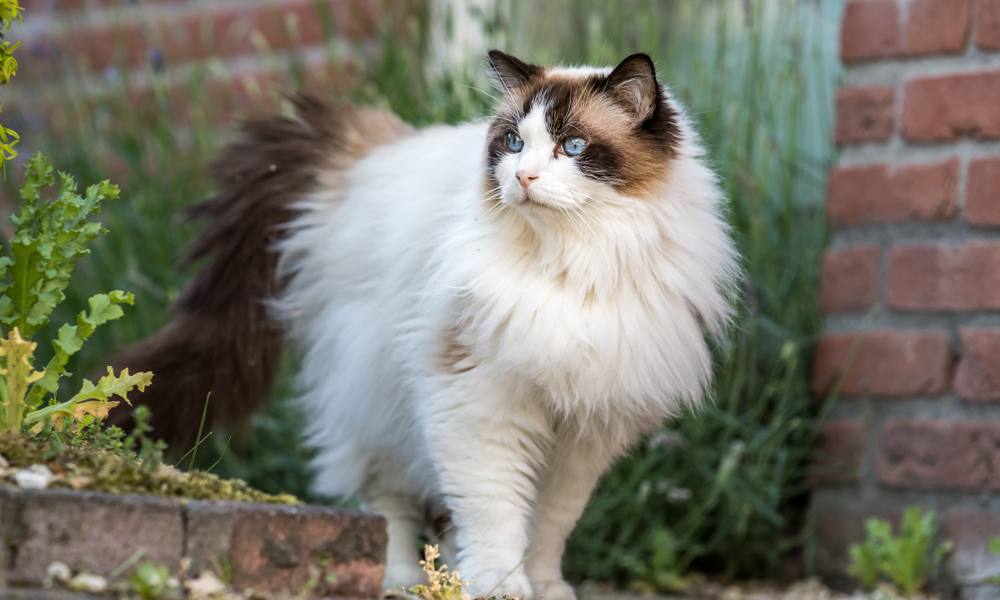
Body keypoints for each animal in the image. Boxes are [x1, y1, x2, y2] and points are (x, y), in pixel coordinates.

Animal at [115, 51, 744, 600]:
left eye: (574, 147)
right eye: (514, 143)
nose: (524, 177)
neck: (572, 263)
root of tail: (373, 152)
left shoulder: (583, 433)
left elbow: (549, 526)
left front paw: (542, 587)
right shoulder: (478, 403)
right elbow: (495, 512)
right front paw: (498, 585)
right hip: (384, 407)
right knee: (389, 507)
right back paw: (399, 580)